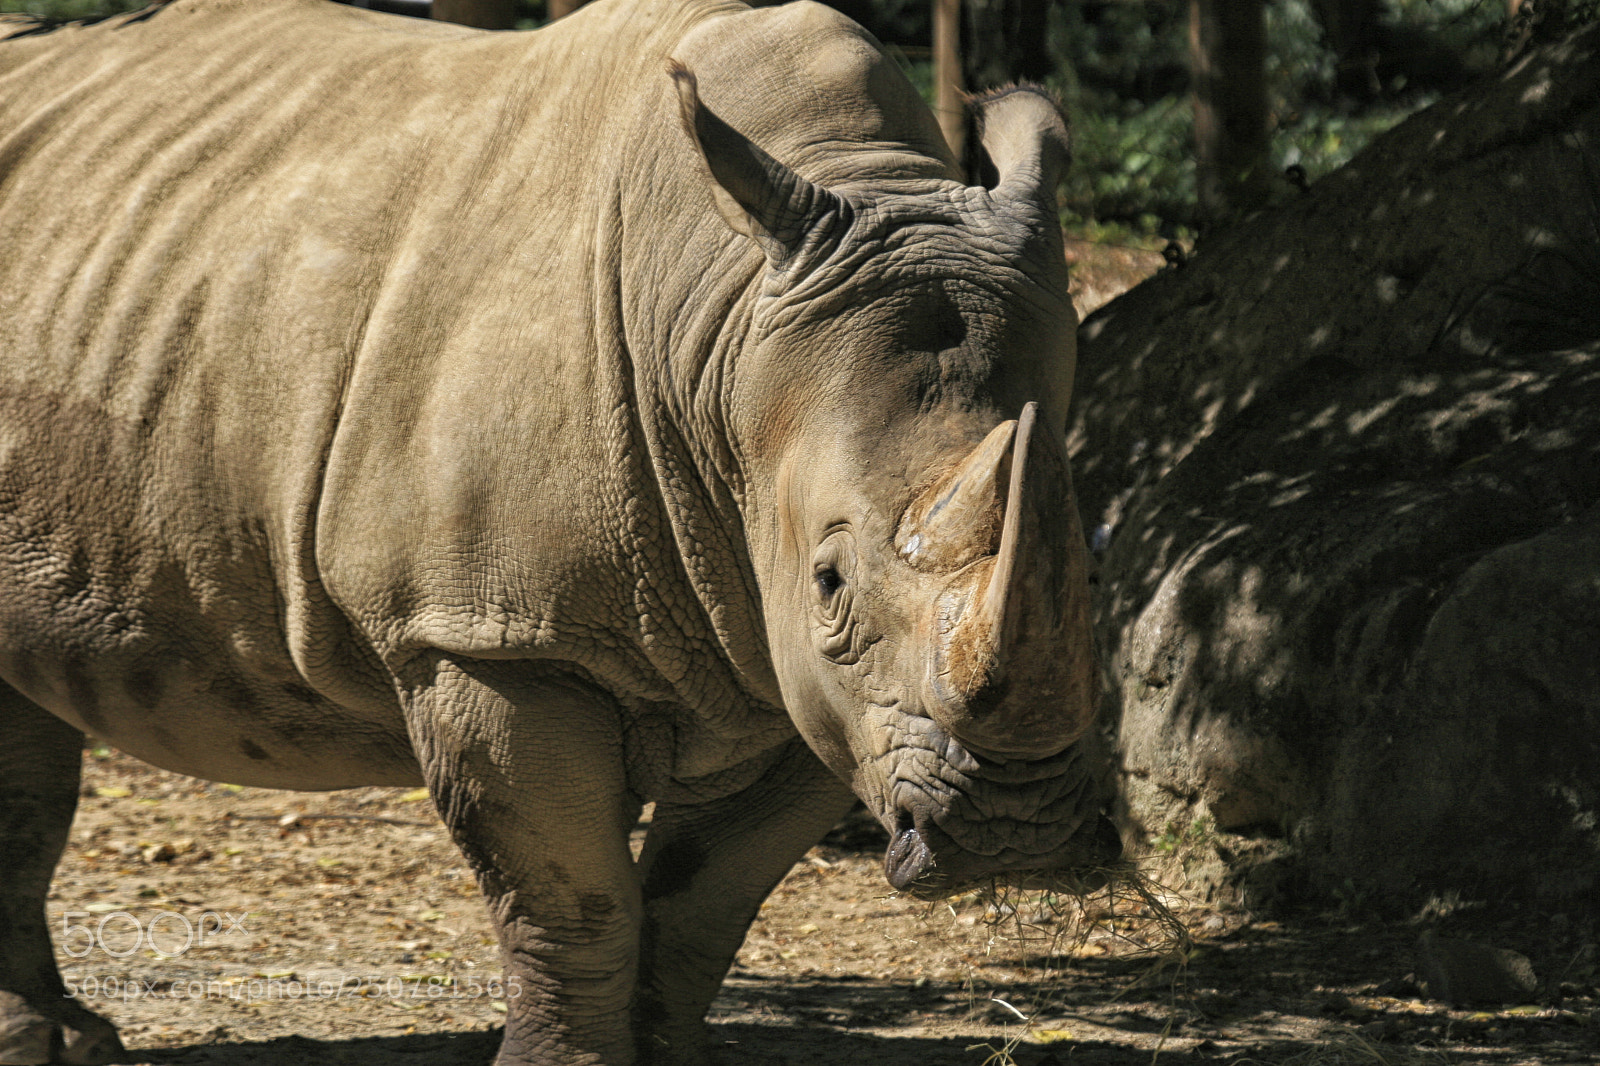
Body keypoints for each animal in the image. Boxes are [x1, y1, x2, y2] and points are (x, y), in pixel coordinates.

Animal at [0, 0, 1116, 1062]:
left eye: (1090, 569)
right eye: (831, 580)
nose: (1018, 830)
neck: (720, 334)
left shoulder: (808, 684)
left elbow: (700, 905)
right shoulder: (490, 633)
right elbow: (571, 903)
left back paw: (62, 1040)